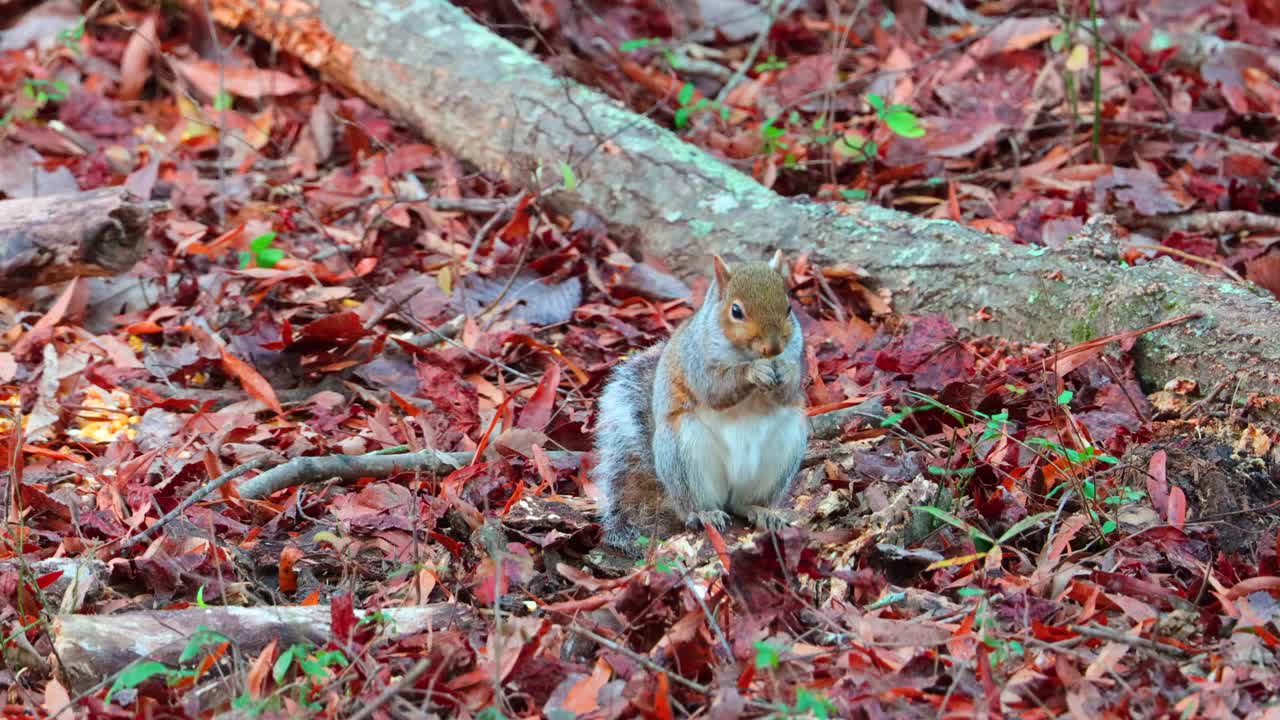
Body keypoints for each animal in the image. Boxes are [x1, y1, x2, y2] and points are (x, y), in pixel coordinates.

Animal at [591, 249, 808, 550]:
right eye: (736, 311)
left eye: (788, 308)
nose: (773, 348)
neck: (746, 353)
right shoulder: (697, 359)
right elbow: (716, 389)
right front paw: (753, 371)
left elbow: (790, 390)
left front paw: (785, 372)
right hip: (684, 453)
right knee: (697, 505)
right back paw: (706, 514)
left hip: (784, 451)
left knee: (742, 503)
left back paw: (762, 511)